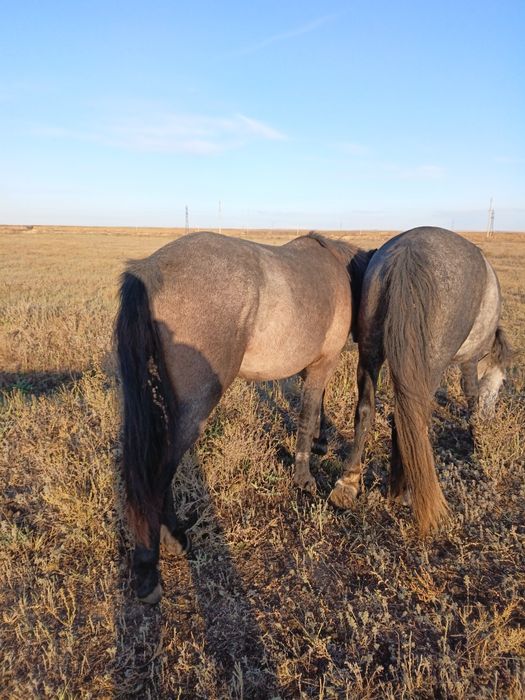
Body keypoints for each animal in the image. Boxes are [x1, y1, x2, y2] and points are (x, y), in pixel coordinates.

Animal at [115, 230, 374, 603]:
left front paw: (320, 442)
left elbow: (317, 406)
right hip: (194, 409)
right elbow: (308, 413)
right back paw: (160, 553)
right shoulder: (324, 361)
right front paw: (304, 477)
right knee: (160, 473)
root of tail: (149, 269)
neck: (340, 270)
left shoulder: (311, 366)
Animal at [328, 226, 513, 534]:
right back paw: (404, 492)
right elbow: (471, 394)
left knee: (369, 410)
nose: (489, 421)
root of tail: (408, 252)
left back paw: (350, 484)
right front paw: (475, 434)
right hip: (429, 365)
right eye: (500, 387)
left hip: (370, 350)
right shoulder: (470, 361)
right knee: (414, 416)